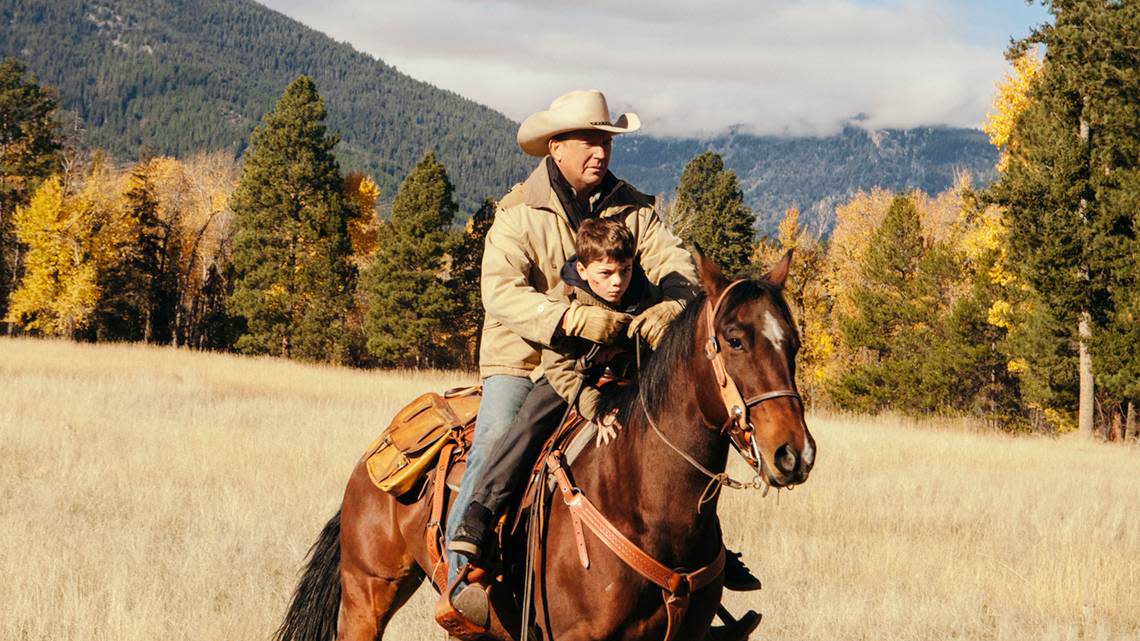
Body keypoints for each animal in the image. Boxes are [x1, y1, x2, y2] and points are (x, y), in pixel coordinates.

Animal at [272, 250, 816, 638]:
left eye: (792, 342)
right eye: (734, 339)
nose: (794, 453)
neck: (649, 504)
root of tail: (371, 459)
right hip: (367, 594)